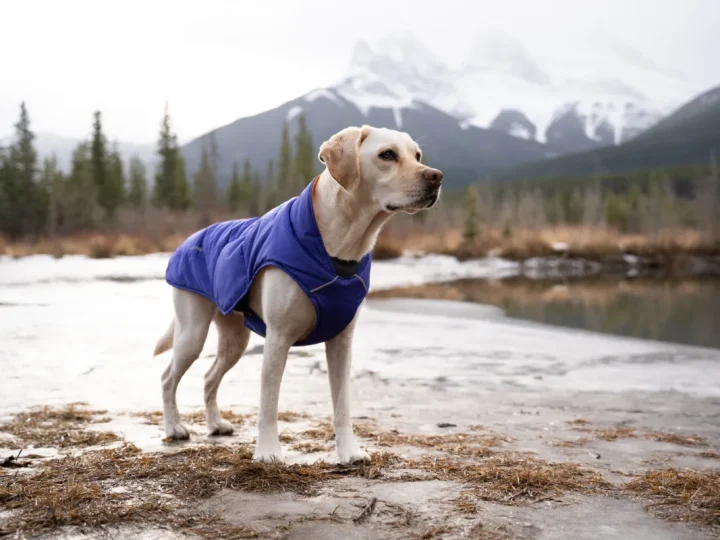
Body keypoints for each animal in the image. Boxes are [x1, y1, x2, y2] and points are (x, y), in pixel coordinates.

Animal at [155, 123, 442, 464]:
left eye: (418, 155)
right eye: (387, 155)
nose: (436, 176)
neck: (340, 248)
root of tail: (190, 238)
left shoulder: (341, 342)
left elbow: (342, 405)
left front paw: (349, 451)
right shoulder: (278, 338)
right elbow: (268, 404)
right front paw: (268, 452)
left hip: (235, 339)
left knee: (209, 377)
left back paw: (215, 424)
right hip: (192, 332)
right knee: (168, 377)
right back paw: (174, 427)